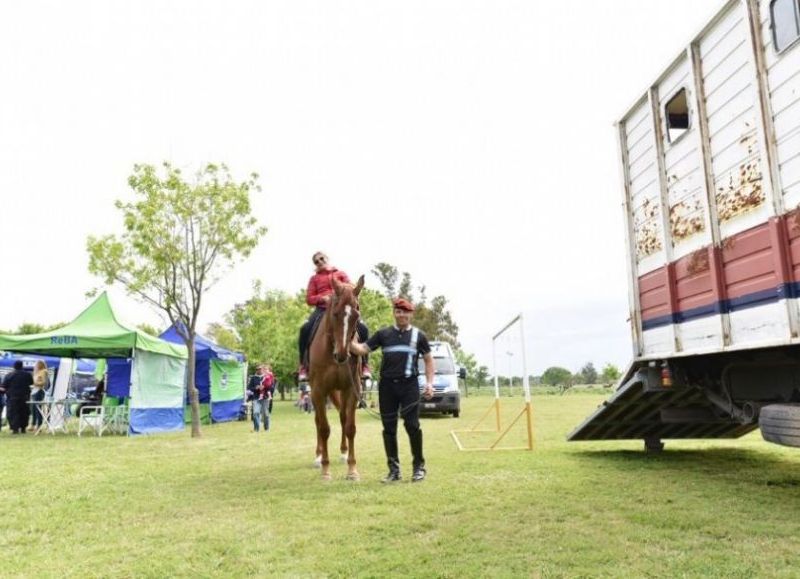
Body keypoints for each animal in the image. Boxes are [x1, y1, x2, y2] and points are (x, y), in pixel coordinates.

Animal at [310, 274, 366, 482]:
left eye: (356, 315)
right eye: (335, 313)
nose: (342, 355)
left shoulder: (352, 389)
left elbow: (350, 427)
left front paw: (352, 469)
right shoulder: (319, 391)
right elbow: (324, 428)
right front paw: (326, 470)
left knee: (342, 417)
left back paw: (343, 452)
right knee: (318, 421)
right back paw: (318, 457)